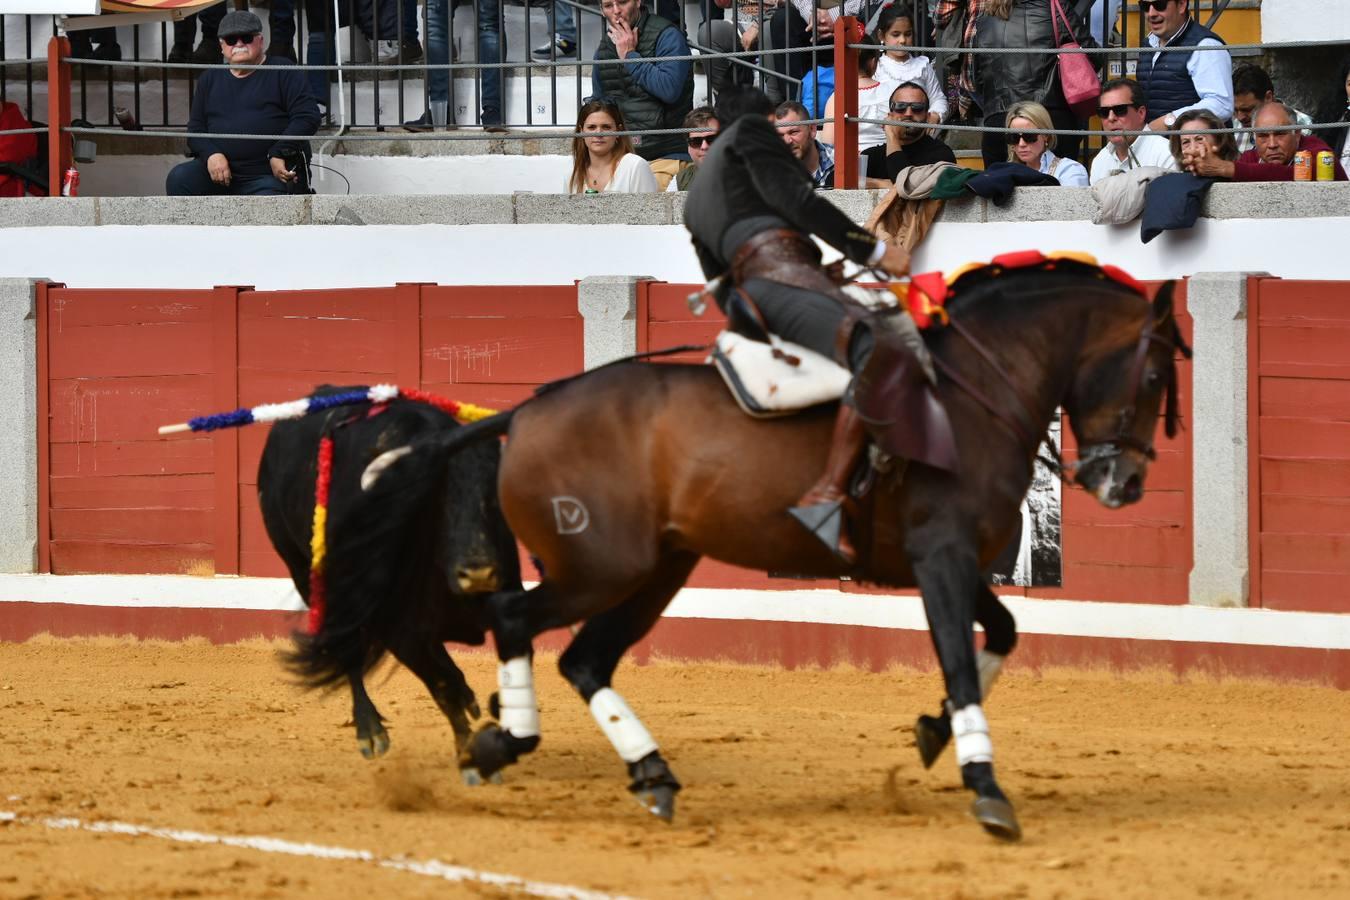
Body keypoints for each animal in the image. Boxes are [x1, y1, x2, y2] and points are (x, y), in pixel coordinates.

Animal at [255, 391, 518, 766]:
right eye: (437, 503)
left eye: (495, 500)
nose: (479, 573)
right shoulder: (394, 625)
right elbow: (440, 685)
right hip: (304, 571)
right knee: (349, 650)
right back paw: (370, 731)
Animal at [356, 259, 1182, 836]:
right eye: (1152, 374)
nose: (1124, 483)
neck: (966, 394)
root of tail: (522, 412)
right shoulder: (941, 558)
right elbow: (958, 657)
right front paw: (987, 789)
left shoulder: (951, 560)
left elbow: (1002, 631)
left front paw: (933, 731)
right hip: (602, 569)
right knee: (513, 617)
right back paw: (506, 741)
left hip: (658, 568)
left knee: (585, 658)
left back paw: (642, 772)